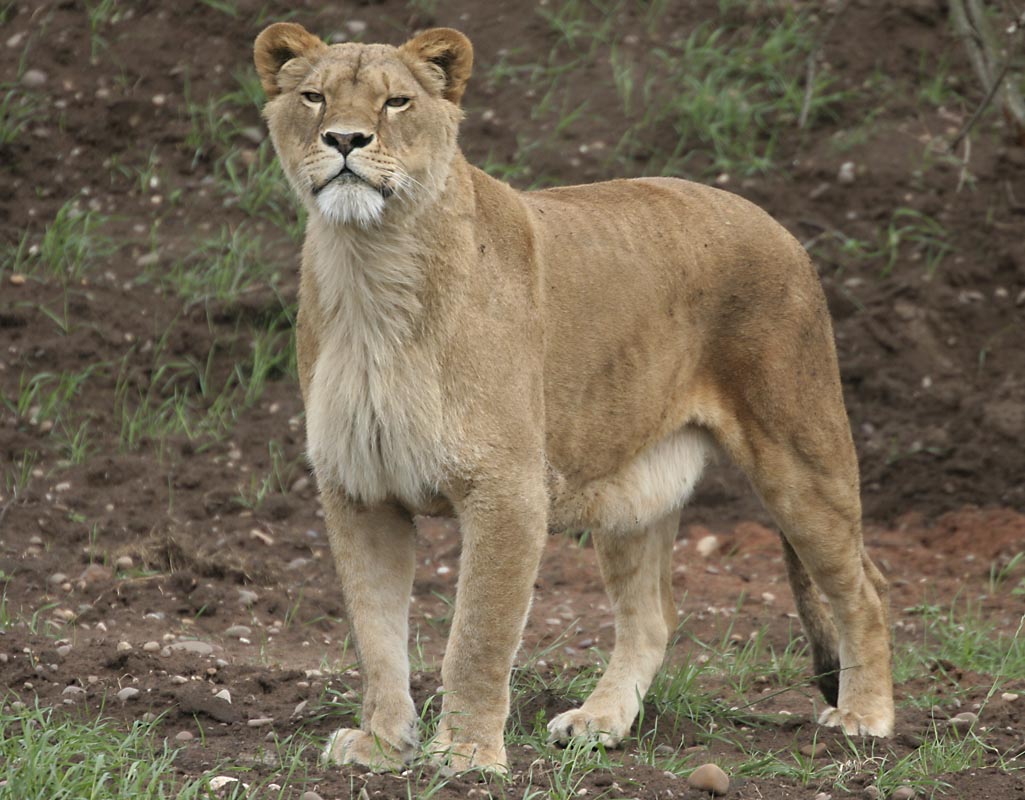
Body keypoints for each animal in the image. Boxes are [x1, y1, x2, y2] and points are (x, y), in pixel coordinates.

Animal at [254, 23, 894, 772]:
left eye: (396, 102)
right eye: (314, 97)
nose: (345, 140)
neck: (371, 268)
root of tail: (775, 223)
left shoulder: (506, 489)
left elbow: (477, 635)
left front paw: (465, 755)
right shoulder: (359, 489)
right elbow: (376, 633)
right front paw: (382, 743)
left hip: (799, 453)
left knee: (864, 586)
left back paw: (865, 717)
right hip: (636, 484)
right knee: (652, 616)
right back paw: (600, 721)